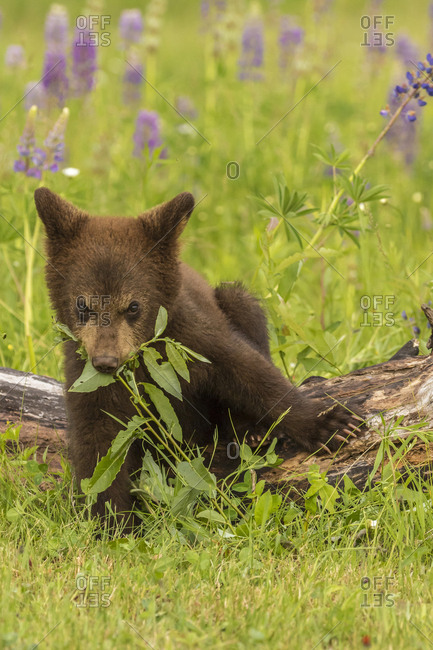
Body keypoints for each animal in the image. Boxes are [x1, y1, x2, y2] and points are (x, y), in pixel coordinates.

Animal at [34, 187, 361, 528]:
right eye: (82, 304)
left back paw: (251, 430)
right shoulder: (84, 377)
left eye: (133, 306)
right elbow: (98, 444)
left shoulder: (192, 336)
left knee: (243, 306)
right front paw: (109, 524)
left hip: (232, 300)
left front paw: (331, 423)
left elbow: (249, 371)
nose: (106, 361)